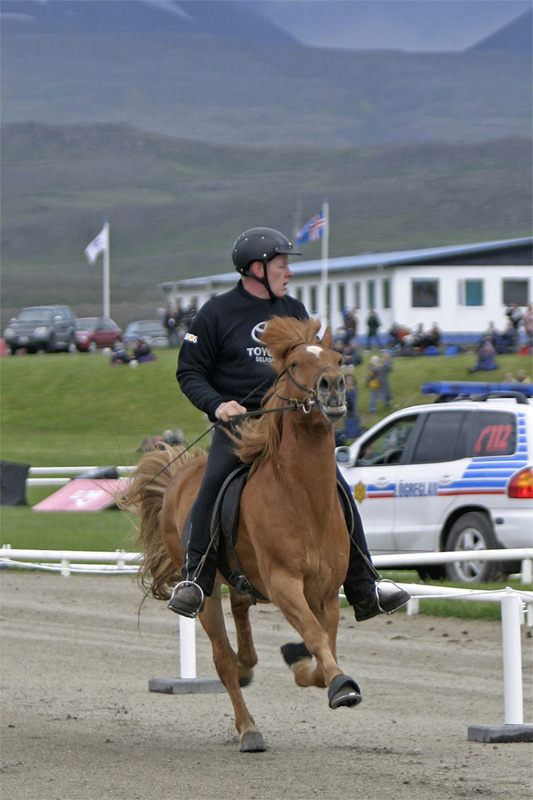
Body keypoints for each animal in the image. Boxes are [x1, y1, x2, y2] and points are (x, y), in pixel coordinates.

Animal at [121, 316, 362, 752]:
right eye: (295, 364)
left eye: (338, 358)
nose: (333, 386)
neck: (302, 498)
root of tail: (180, 473)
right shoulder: (285, 585)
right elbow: (317, 638)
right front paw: (340, 685)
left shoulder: (325, 591)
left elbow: (323, 643)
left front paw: (307, 667)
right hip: (206, 588)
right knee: (222, 657)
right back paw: (248, 727)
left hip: (240, 577)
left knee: (241, 609)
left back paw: (249, 664)